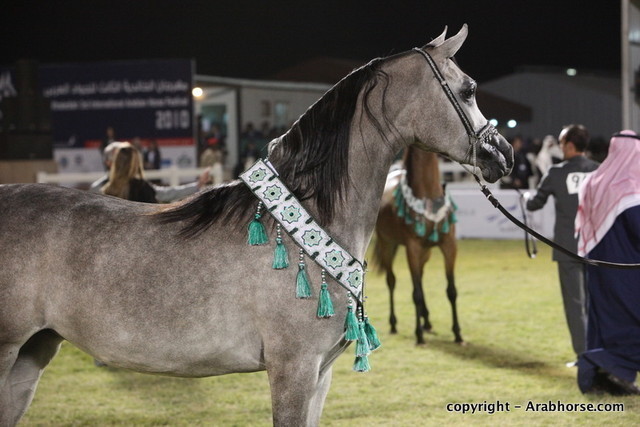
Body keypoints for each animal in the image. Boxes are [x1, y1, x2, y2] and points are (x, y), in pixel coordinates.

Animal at [374, 147, 462, 345]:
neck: (428, 197)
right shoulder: (412, 248)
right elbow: (416, 294)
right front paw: (419, 335)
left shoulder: (449, 246)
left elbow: (451, 290)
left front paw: (457, 334)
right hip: (388, 245)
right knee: (391, 281)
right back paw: (394, 324)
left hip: (426, 252)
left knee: (420, 279)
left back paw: (426, 320)